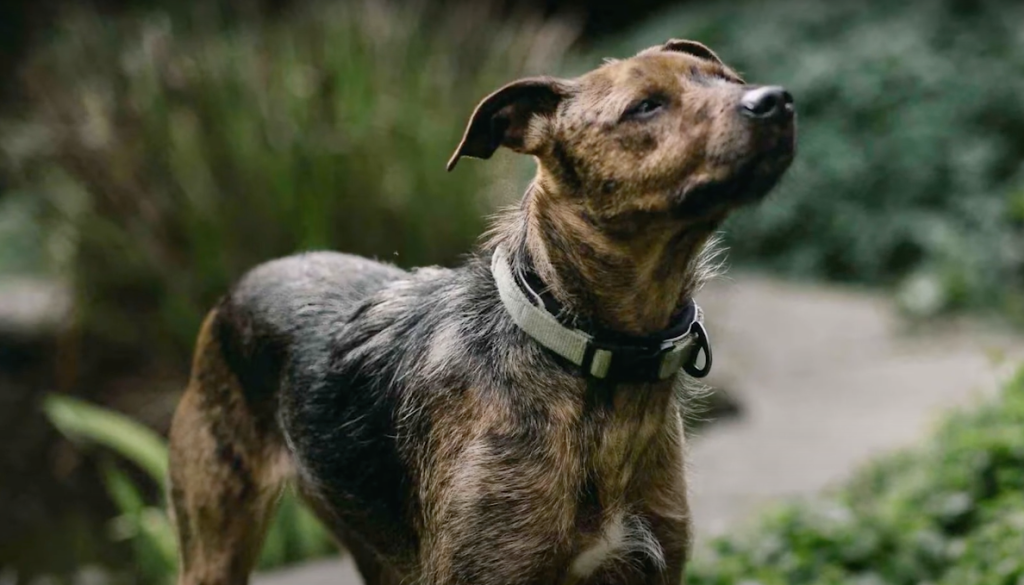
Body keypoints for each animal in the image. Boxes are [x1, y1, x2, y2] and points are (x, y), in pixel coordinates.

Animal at [167, 38, 794, 581]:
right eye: (645, 106)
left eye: (729, 79)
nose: (776, 101)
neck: (582, 351)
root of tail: (239, 286)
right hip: (216, 542)